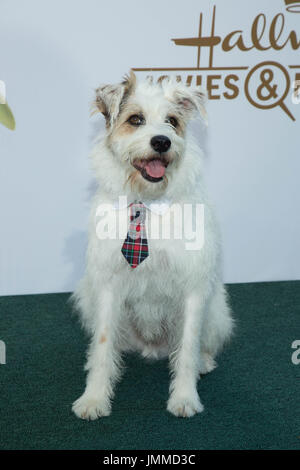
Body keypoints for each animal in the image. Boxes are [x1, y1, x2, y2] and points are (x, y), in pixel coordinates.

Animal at [71, 71, 233, 420]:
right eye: (136, 119)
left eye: (172, 121)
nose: (162, 142)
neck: (148, 203)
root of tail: (151, 346)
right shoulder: (107, 286)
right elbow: (103, 345)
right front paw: (94, 397)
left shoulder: (193, 289)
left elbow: (187, 347)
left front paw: (184, 397)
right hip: (88, 298)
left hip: (216, 310)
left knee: (200, 346)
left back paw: (204, 362)